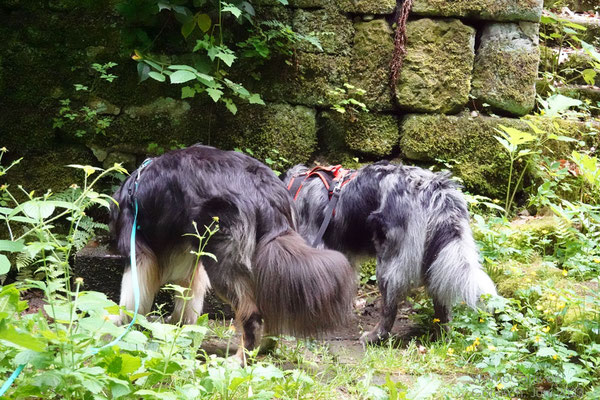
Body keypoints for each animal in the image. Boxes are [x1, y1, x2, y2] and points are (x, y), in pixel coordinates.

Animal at [110, 146, 356, 360]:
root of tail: (263, 191)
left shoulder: (140, 255)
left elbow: (131, 297)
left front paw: (122, 325)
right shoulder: (191, 256)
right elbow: (187, 297)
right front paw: (178, 325)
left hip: (224, 262)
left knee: (252, 314)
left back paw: (240, 359)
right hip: (262, 260)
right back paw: (264, 347)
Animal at [284, 161, 496, 346]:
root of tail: (435, 188)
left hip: (387, 265)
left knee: (389, 308)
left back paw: (373, 337)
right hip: (437, 260)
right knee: (442, 304)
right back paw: (441, 338)